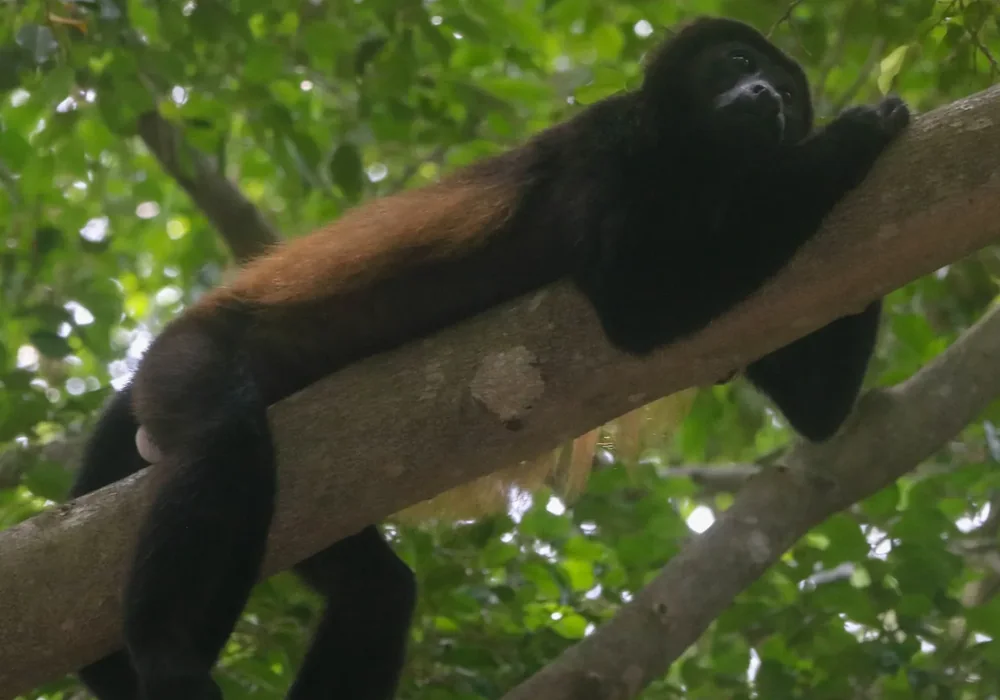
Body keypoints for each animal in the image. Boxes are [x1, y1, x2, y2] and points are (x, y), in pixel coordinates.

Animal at [66, 15, 909, 700]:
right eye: (736, 62)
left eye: (788, 93)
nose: (767, 92)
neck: (701, 169)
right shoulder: (607, 147)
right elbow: (637, 303)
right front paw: (857, 134)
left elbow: (816, 407)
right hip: (188, 357)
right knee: (223, 442)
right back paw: (168, 659)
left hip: (311, 511)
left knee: (377, 590)